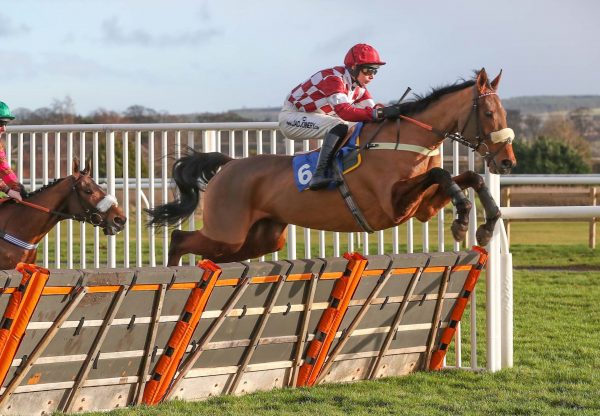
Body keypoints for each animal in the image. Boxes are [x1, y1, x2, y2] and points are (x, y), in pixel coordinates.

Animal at [149, 68, 516, 264]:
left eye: (504, 113)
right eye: (488, 114)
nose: (507, 161)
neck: (406, 139)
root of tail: (229, 166)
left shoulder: (421, 207)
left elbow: (468, 177)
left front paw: (484, 224)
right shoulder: (392, 205)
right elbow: (441, 173)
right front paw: (464, 219)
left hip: (257, 240)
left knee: (203, 250)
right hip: (228, 232)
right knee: (179, 238)